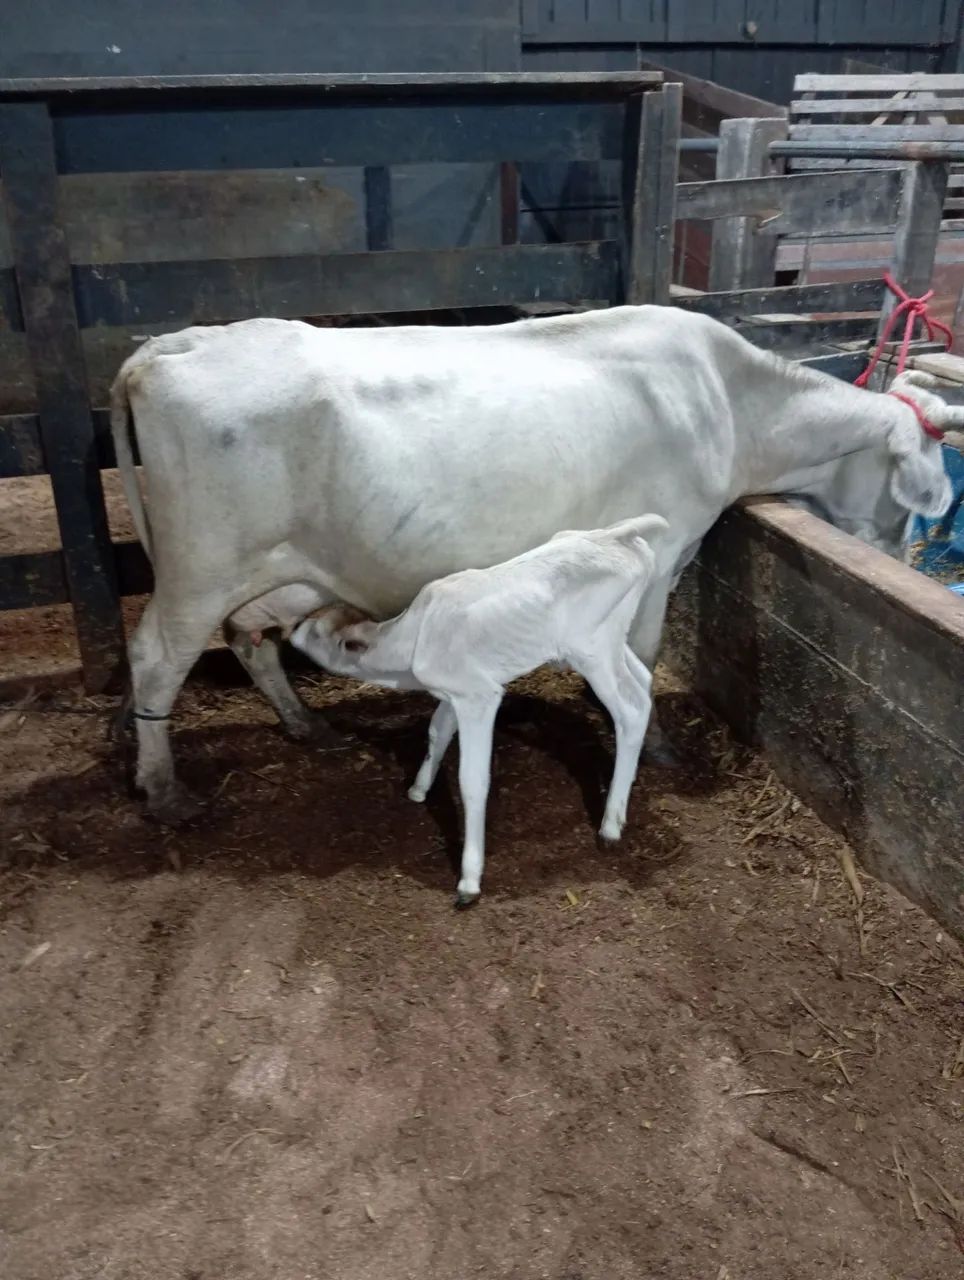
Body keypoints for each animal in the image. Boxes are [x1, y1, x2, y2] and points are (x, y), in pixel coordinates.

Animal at [109, 307, 958, 824]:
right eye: (908, 499)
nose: (901, 558)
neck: (729, 401)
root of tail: (167, 347)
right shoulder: (660, 549)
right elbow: (644, 650)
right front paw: (651, 741)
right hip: (200, 565)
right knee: (156, 658)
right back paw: (163, 790)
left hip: (279, 569)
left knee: (250, 640)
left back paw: (306, 726)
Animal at [290, 514, 668, 905]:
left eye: (316, 631)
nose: (291, 628)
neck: (411, 645)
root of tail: (614, 534)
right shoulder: (452, 692)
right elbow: (437, 731)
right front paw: (419, 789)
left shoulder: (480, 696)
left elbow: (472, 780)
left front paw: (469, 880)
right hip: (613, 642)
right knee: (642, 683)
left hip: (590, 650)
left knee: (629, 710)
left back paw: (610, 826)